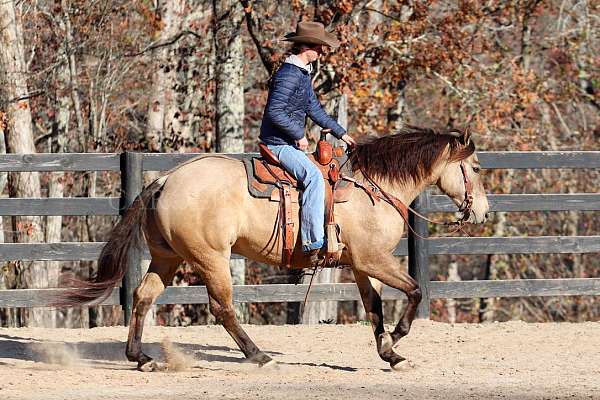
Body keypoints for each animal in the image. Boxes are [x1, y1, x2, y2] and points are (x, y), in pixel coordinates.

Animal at [57, 126, 488, 372]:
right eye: (477, 168)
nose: (483, 211)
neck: (375, 187)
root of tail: (165, 179)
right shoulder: (374, 260)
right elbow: (414, 291)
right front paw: (397, 338)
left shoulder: (363, 265)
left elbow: (374, 308)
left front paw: (390, 353)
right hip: (210, 258)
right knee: (222, 307)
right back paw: (256, 354)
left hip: (167, 258)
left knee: (144, 296)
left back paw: (141, 358)